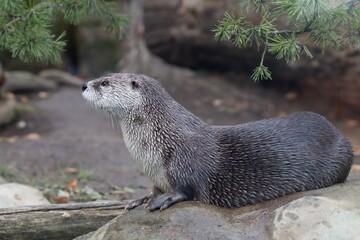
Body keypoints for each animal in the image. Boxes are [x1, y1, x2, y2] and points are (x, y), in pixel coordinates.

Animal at [81, 72, 352, 210]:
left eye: (104, 82)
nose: (84, 84)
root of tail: (337, 132)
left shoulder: (186, 161)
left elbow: (186, 189)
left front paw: (164, 199)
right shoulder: (155, 176)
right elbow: (154, 189)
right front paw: (142, 198)